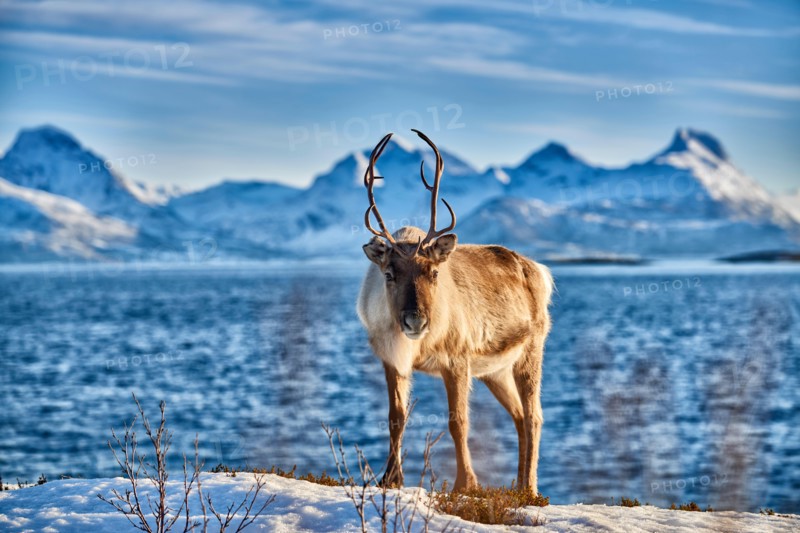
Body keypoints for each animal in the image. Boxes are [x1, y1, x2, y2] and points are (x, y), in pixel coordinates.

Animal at [356, 130, 554, 494]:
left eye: (434, 272)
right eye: (389, 273)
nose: (415, 319)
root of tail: (540, 271)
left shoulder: (458, 358)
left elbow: (458, 421)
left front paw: (466, 484)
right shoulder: (391, 359)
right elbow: (396, 416)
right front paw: (390, 479)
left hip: (531, 350)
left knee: (534, 416)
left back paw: (530, 490)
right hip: (494, 370)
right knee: (519, 416)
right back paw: (517, 486)